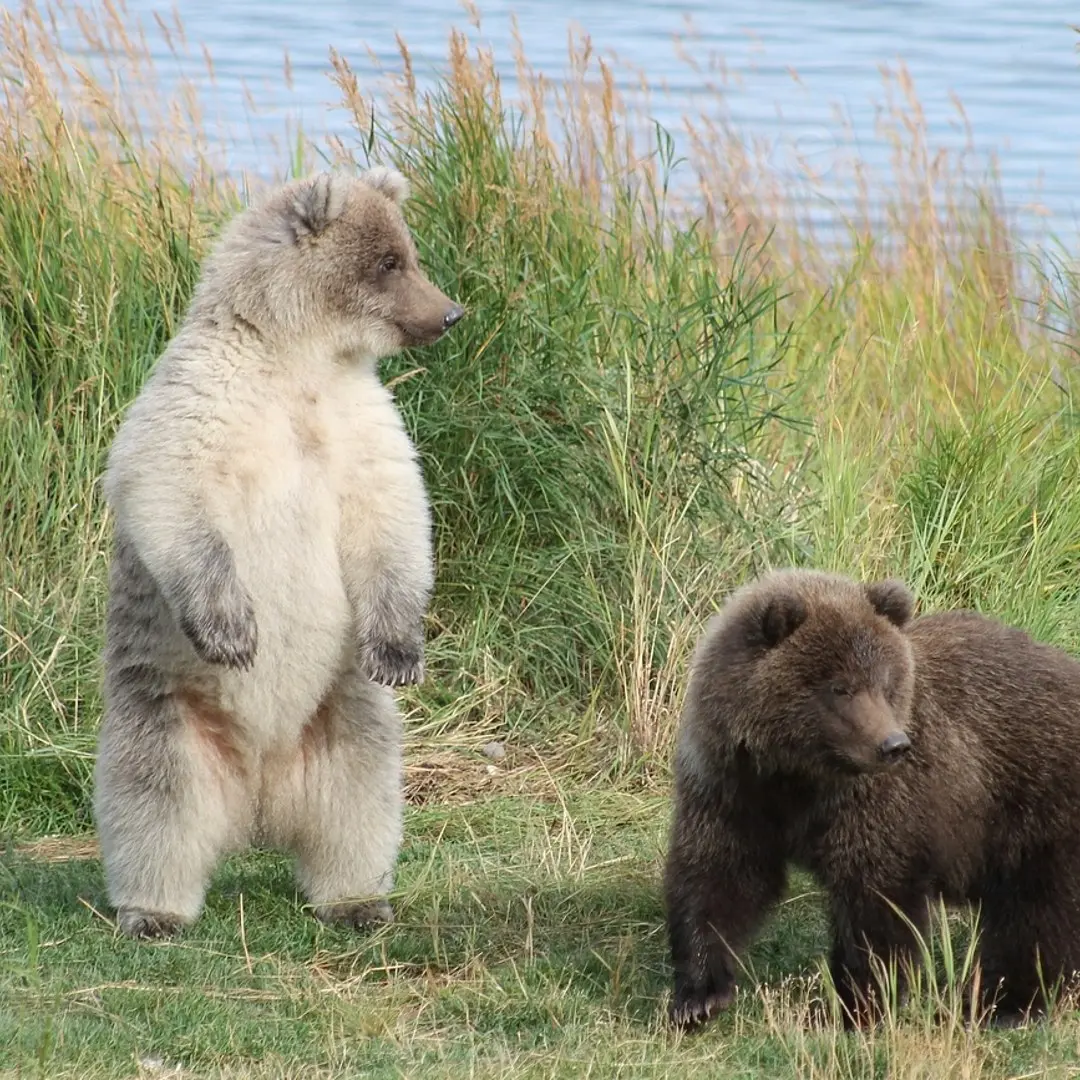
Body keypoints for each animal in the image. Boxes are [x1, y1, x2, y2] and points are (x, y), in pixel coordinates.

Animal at [93, 166, 465, 939]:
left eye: (407, 251)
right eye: (390, 261)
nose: (450, 313)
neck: (299, 356)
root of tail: (257, 804)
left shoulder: (359, 420)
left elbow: (392, 512)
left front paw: (400, 648)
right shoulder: (203, 401)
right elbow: (169, 489)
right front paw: (234, 631)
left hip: (342, 706)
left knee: (360, 797)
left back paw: (358, 900)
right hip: (167, 709)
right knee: (153, 801)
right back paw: (153, 911)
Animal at [665, 568, 1080, 1029]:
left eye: (885, 682)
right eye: (840, 687)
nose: (893, 744)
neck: (796, 775)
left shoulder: (876, 804)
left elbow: (876, 900)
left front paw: (857, 1005)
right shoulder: (732, 790)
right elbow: (720, 875)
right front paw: (699, 996)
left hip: (1038, 802)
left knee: (1039, 912)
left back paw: (1001, 1002)